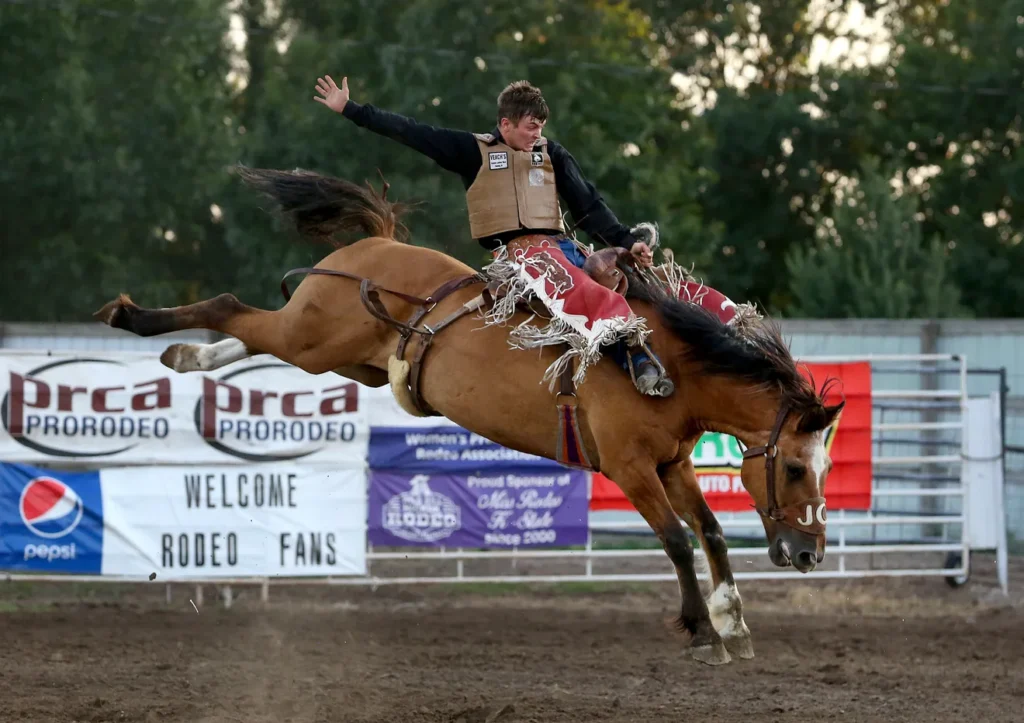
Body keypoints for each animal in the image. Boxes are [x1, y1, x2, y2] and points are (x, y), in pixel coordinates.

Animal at [96, 165, 843, 663]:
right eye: (797, 469)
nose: (809, 553)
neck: (671, 368)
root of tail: (375, 243)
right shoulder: (630, 467)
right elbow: (679, 540)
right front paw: (701, 628)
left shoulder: (672, 463)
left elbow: (711, 531)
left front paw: (733, 620)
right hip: (312, 335)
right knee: (231, 306)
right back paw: (133, 317)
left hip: (339, 357)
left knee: (248, 331)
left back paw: (185, 353)